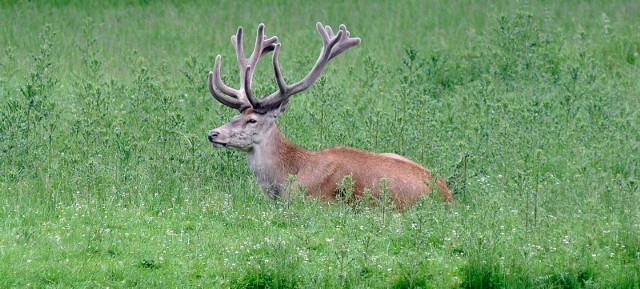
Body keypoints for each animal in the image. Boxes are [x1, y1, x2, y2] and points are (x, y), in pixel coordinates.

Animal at [205, 22, 450, 207]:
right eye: (234, 117)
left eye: (252, 120)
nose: (213, 133)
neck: (286, 178)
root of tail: (447, 195)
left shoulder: (314, 200)